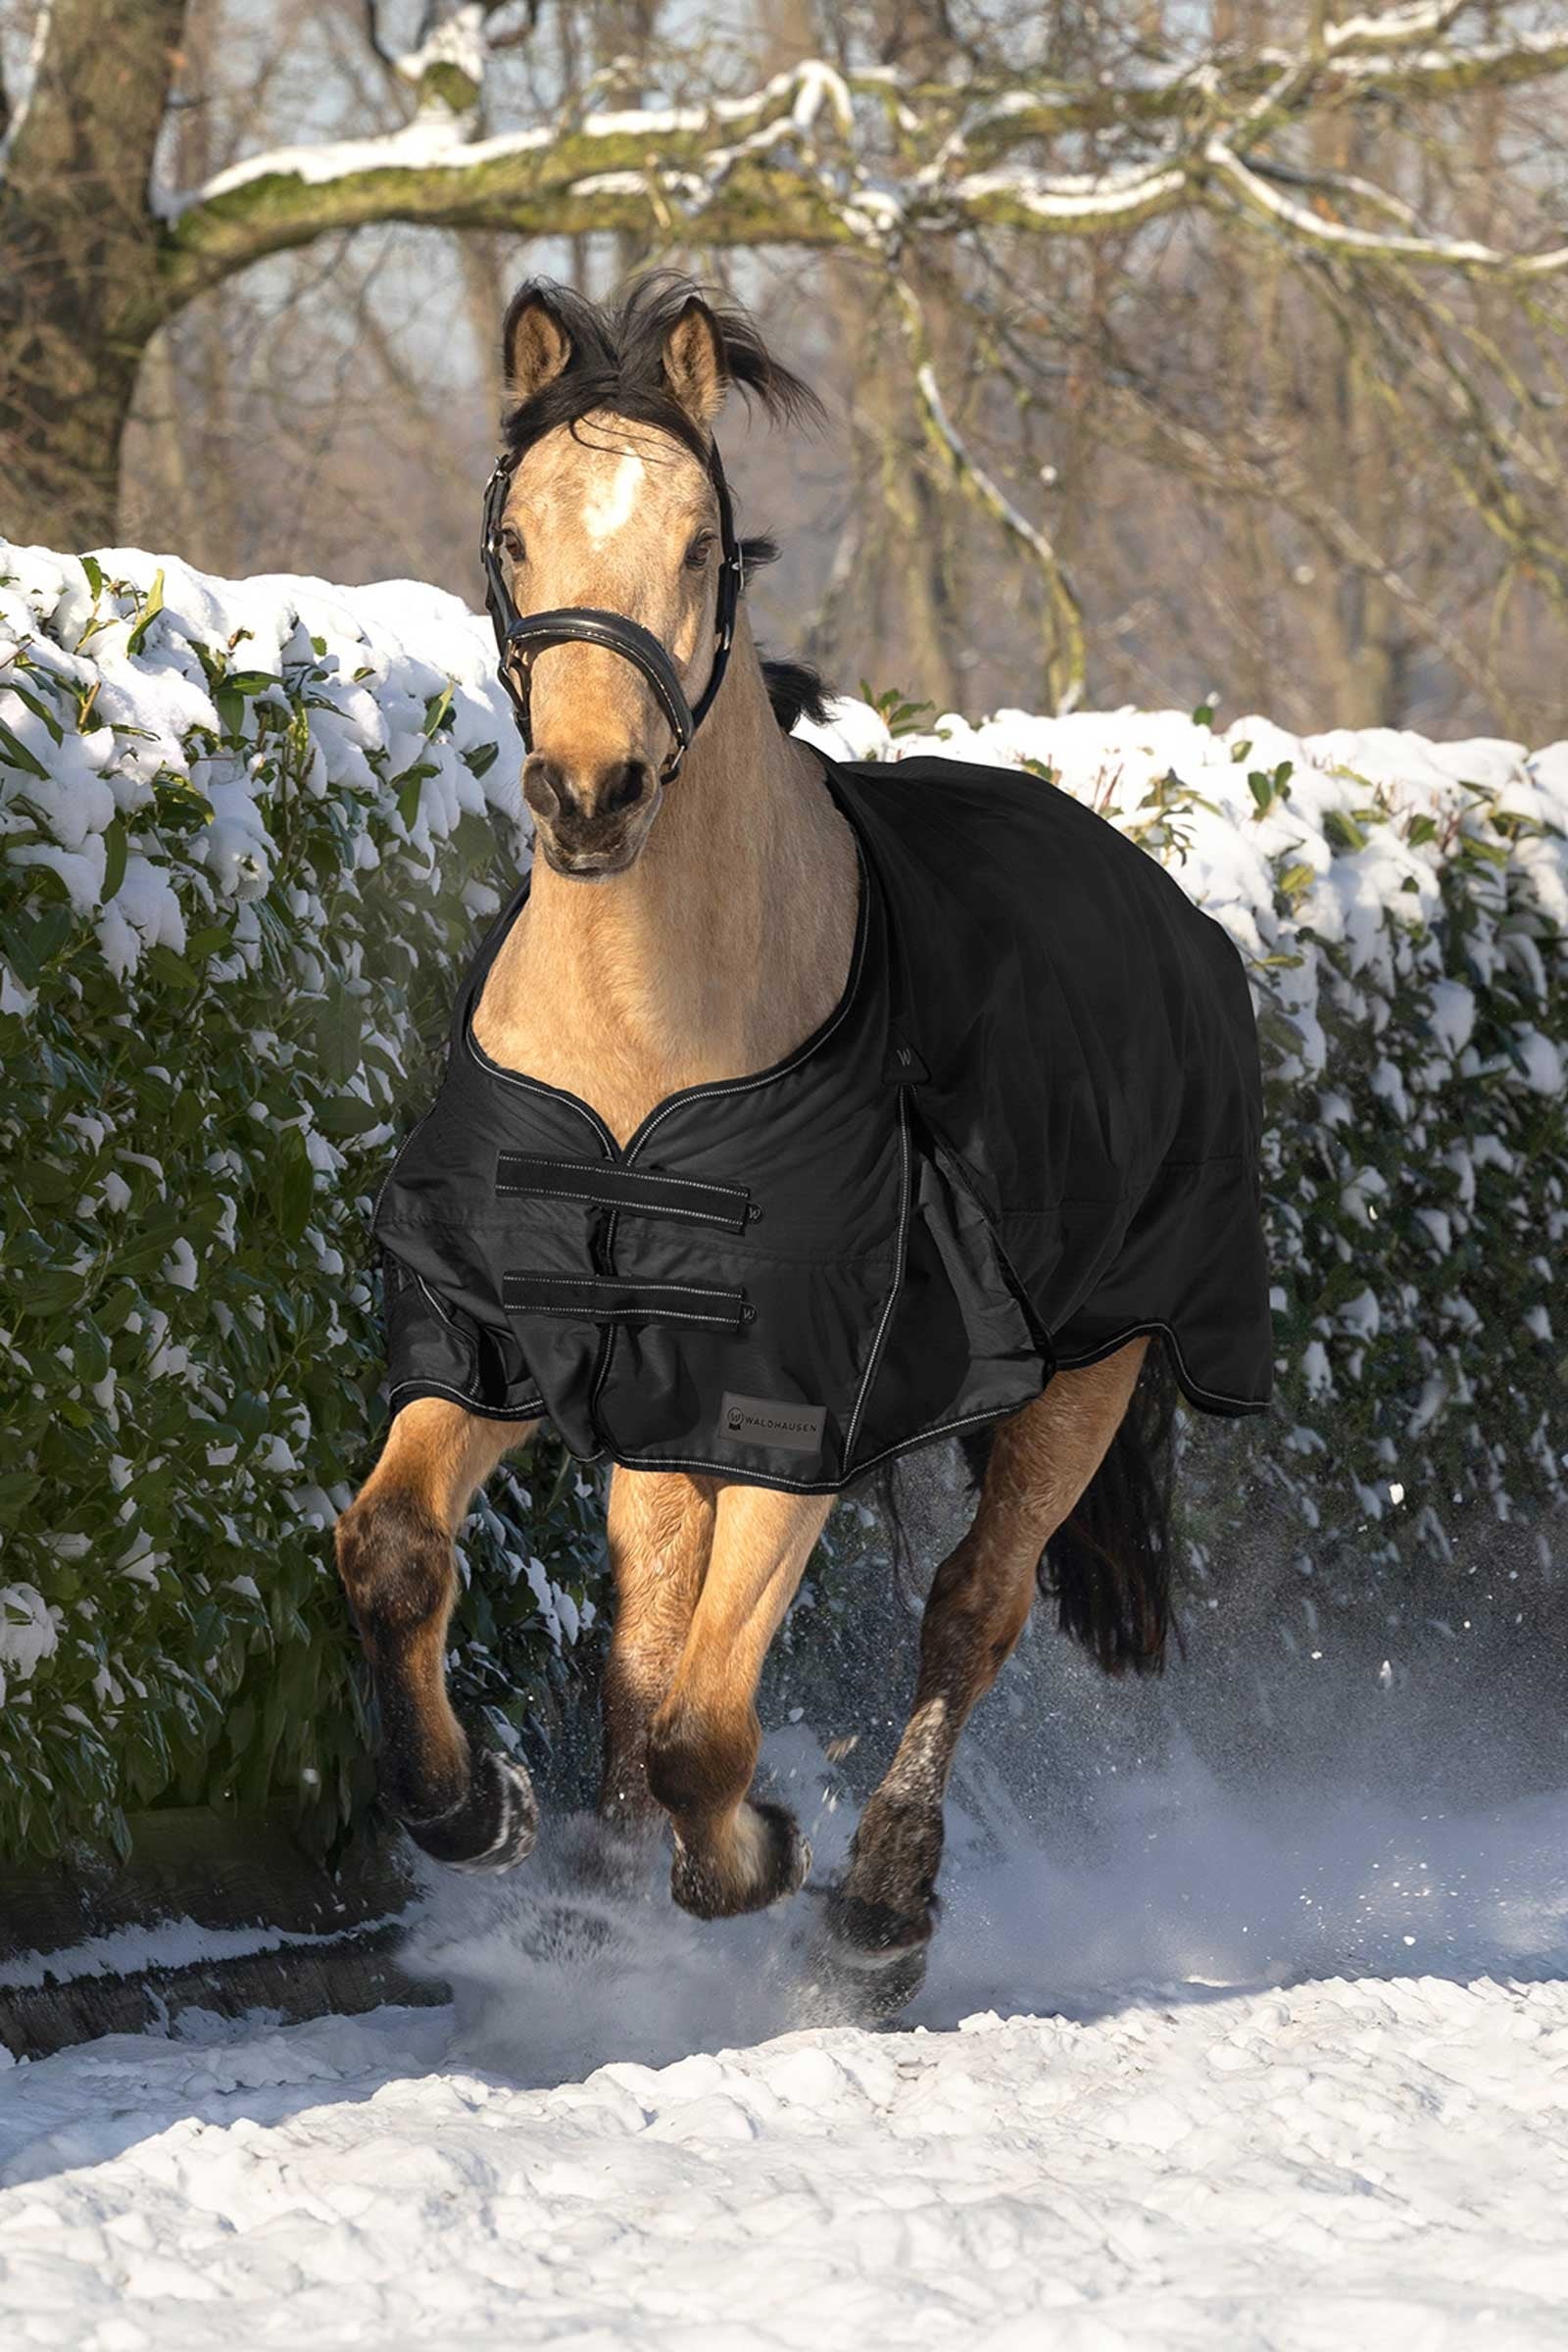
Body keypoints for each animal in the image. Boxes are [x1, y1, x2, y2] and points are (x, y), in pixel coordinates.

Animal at [335, 273, 1267, 1999]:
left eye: (705, 542)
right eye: (514, 537)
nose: (589, 795)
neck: (647, 1049)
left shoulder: (800, 1398)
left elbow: (715, 1722)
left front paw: (753, 1857)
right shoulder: (515, 1337)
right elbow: (397, 1558)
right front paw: (475, 1811)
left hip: (1093, 1371)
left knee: (971, 1611)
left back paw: (878, 1914)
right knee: (649, 1623)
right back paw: (594, 1901)